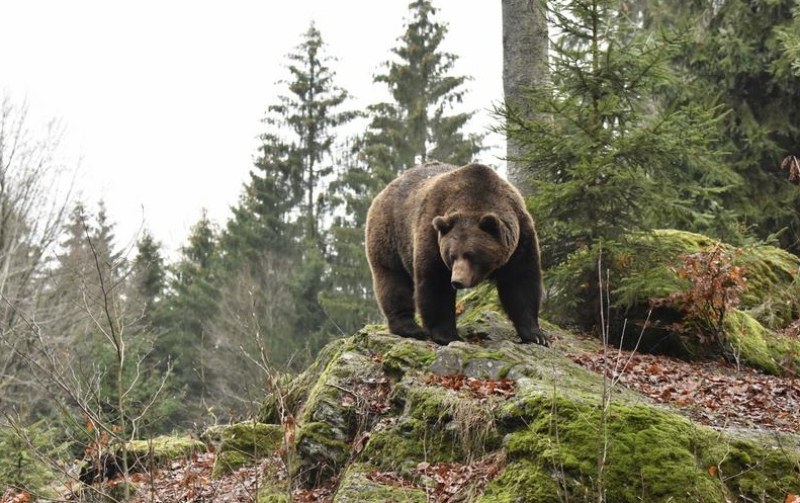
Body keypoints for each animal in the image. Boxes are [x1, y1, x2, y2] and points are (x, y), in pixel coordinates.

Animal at [366, 161, 548, 346]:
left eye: (471, 254)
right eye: (452, 255)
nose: (457, 280)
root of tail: (386, 189)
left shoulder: (520, 238)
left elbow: (521, 282)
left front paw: (536, 335)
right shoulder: (433, 233)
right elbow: (436, 283)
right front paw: (447, 335)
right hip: (391, 235)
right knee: (393, 281)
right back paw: (410, 328)